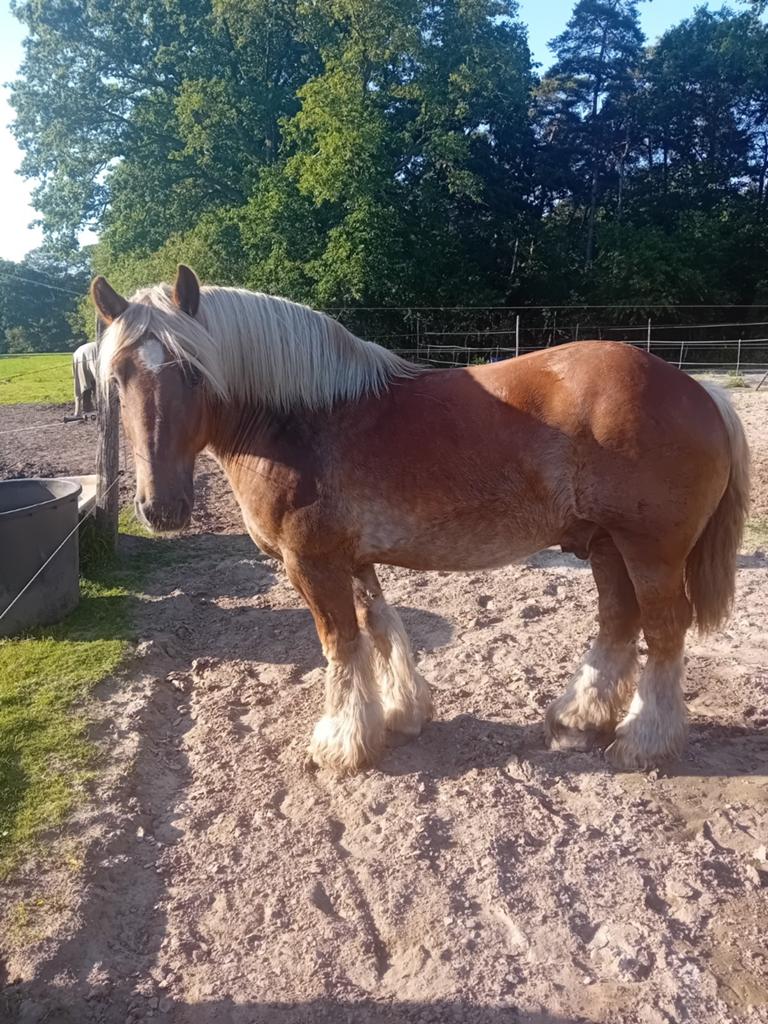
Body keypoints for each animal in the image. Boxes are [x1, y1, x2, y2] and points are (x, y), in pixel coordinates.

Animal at [92, 266, 750, 775]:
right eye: (119, 376)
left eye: (193, 371)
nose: (161, 508)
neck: (297, 421)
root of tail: (700, 389)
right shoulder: (350, 559)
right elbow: (379, 627)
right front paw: (401, 713)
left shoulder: (311, 563)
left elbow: (341, 645)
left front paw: (341, 745)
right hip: (608, 546)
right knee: (618, 623)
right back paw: (577, 720)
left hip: (649, 551)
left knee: (664, 631)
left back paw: (643, 742)